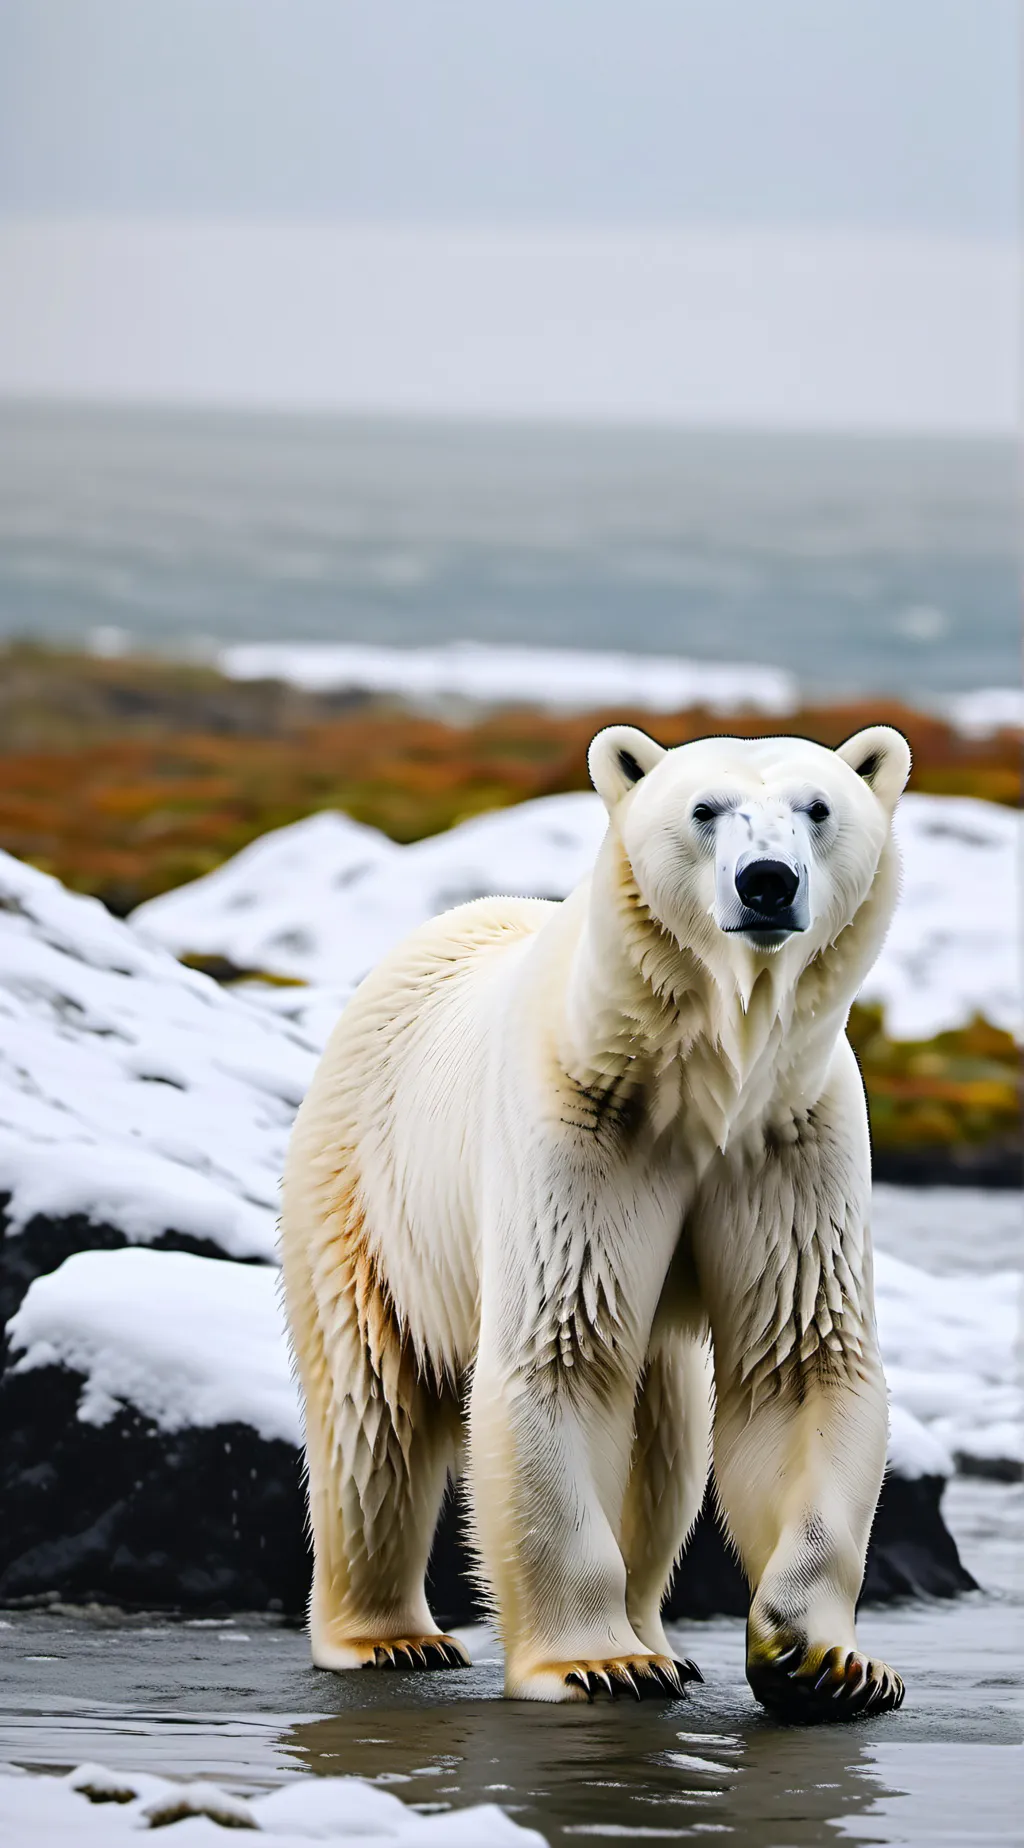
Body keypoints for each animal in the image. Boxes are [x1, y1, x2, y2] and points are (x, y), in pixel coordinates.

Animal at [280, 722, 911, 1717]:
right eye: (704, 809)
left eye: (818, 807)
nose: (766, 881)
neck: (705, 1077)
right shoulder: (582, 1127)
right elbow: (562, 1351)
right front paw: (598, 1664)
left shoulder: (792, 1139)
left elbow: (799, 1364)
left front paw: (826, 1661)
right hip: (365, 1189)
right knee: (371, 1409)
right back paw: (390, 1638)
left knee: (666, 1440)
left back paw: (662, 1637)